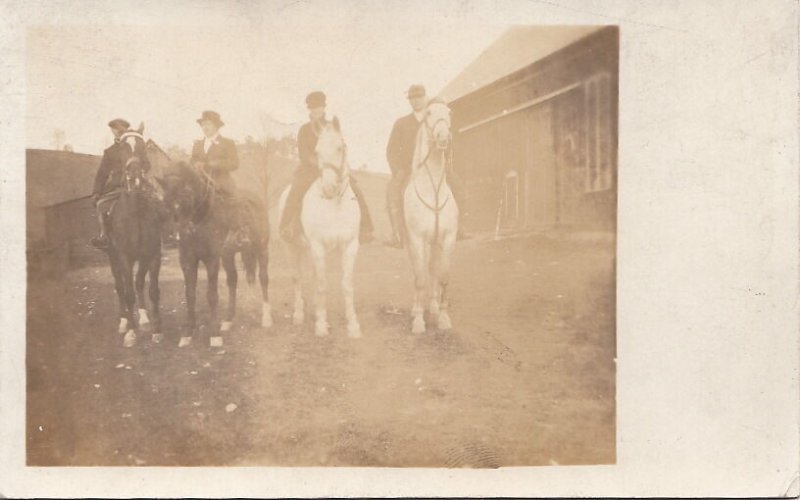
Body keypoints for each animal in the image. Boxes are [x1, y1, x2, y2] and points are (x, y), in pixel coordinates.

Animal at [105, 125, 163, 348]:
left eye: (141, 147)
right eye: (122, 148)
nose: (135, 177)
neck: (136, 212)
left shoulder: (153, 255)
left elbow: (152, 290)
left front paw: (156, 330)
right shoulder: (124, 257)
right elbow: (128, 292)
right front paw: (130, 332)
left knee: (138, 283)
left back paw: (144, 318)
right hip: (112, 257)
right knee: (121, 286)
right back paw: (124, 321)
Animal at [159, 162, 272, 346]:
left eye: (187, 196)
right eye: (165, 200)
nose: (176, 234)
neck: (201, 218)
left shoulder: (211, 260)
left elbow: (211, 295)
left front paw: (214, 334)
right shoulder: (187, 261)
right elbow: (190, 294)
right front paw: (188, 332)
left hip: (262, 250)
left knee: (263, 278)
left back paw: (267, 318)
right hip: (228, 256)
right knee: (232, 281)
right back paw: (228, 320)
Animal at [276, 115, 360, 338]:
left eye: (340, 147)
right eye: (317, 151)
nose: (329, 187)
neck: (335, 204)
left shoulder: (350, 246)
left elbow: (347, 285)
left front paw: (353, 325)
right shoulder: (318, 246)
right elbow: (322, 285)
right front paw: (321, 325)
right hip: (291, 247)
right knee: (297, 278)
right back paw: (299, 314)